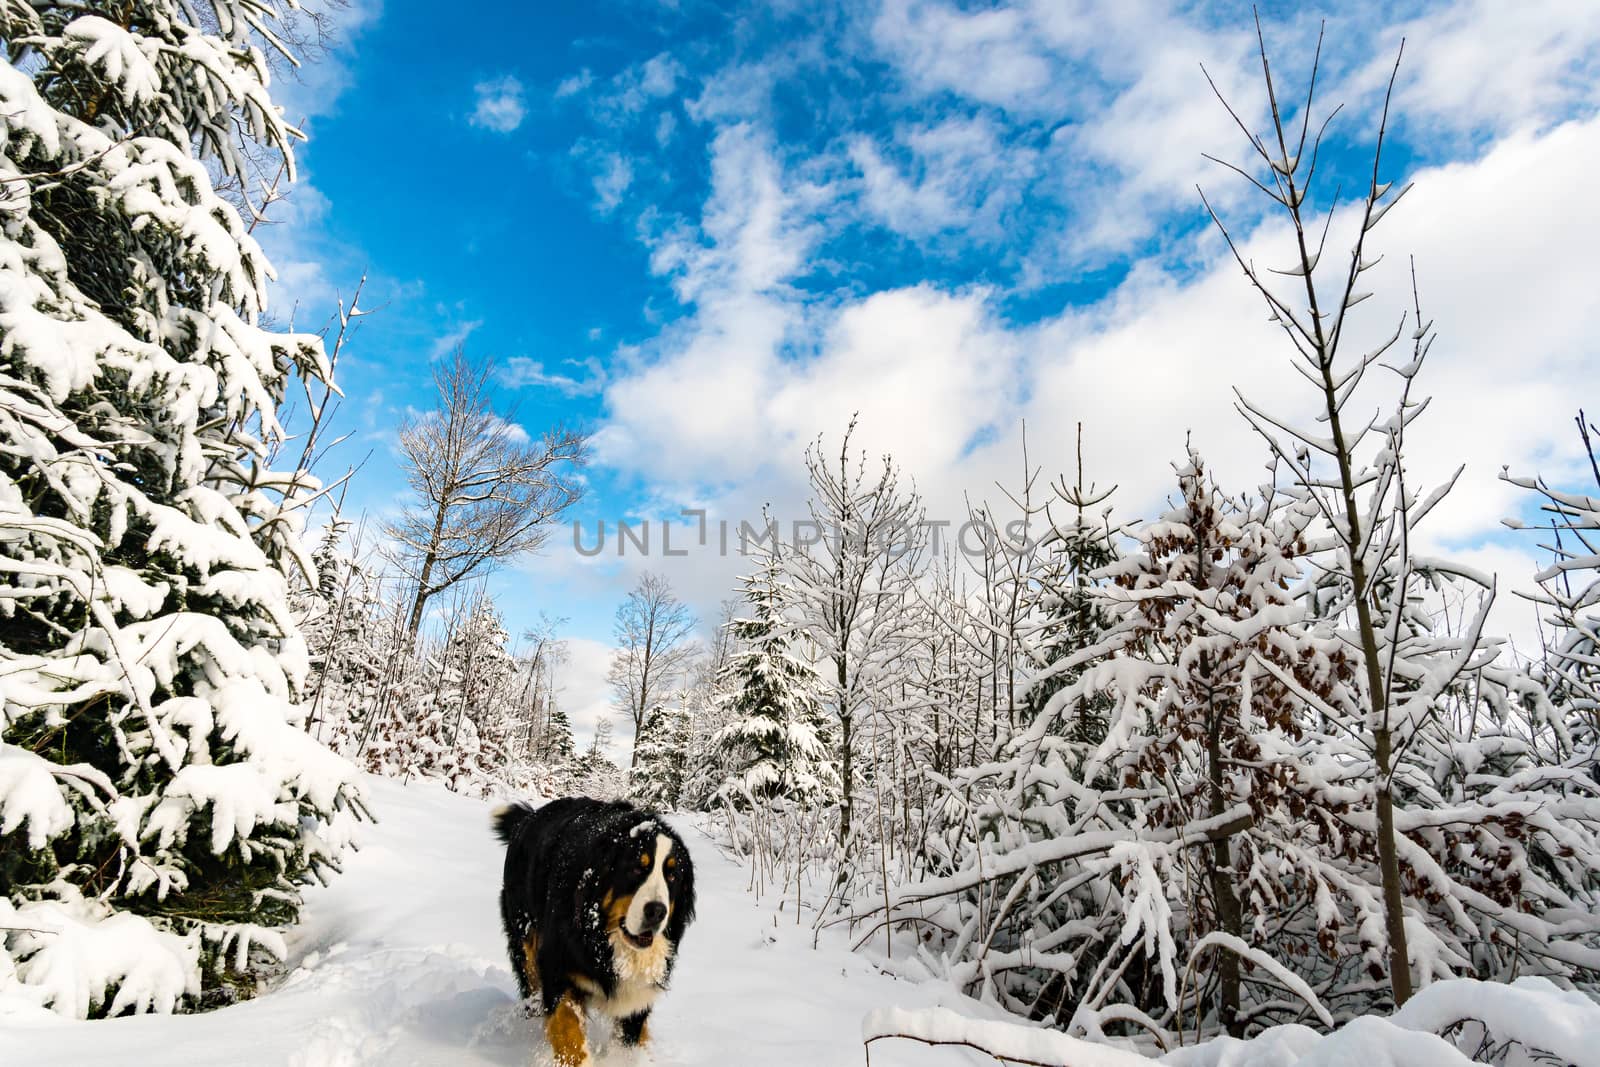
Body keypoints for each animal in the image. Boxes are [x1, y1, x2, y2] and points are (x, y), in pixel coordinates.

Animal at [492, 796, 694, 1062]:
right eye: (636, 869)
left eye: (672, 876)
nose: (657, 911)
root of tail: (528, 818)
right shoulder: (557, 965)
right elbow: (567, 1025)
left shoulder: (638, 989)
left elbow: (628, 1038)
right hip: (524, 934)